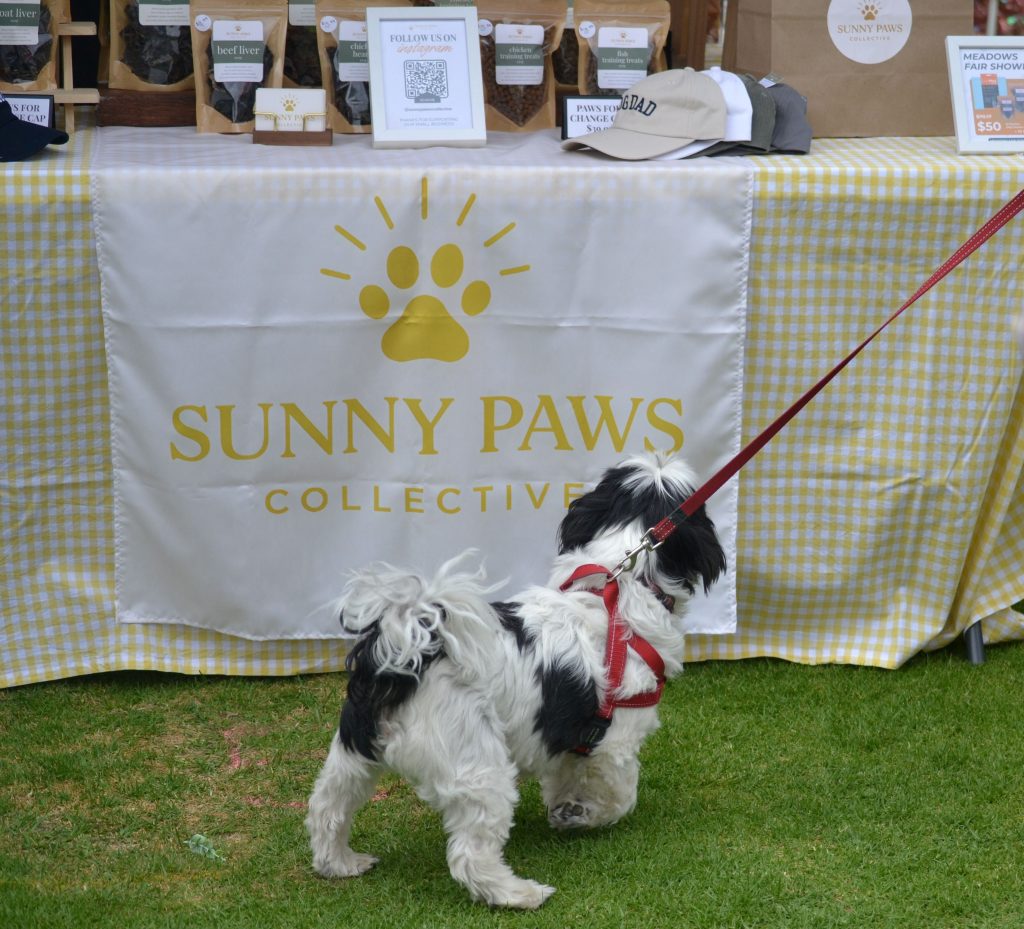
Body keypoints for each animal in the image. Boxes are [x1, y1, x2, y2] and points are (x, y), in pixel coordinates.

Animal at [305, 452, 726, 908]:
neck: (623, 584)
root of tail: (409, 650)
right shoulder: (615, 739)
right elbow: (621, 795)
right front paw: (583, 815)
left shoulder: (565, 733)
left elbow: (564, 775)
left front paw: (565, 808)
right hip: (477, 765)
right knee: (469, 855)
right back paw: (518, 893)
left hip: (354, 750)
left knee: (328, 806)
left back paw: (339, 863)